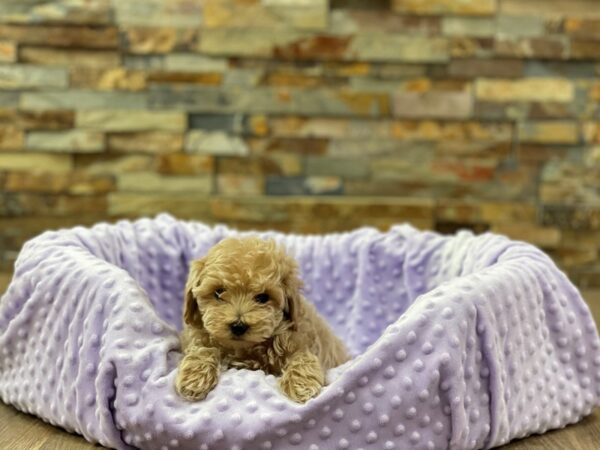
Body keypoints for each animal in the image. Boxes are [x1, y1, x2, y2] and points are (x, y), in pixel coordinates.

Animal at [173, 237, 350, 402]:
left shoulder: (299, 338)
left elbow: (302, 356)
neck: (246, 348)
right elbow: (203, 348)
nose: (238, 326)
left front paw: (301, 385)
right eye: (218, 292)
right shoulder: (199, 335)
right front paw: (194, 378)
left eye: (263, 298)